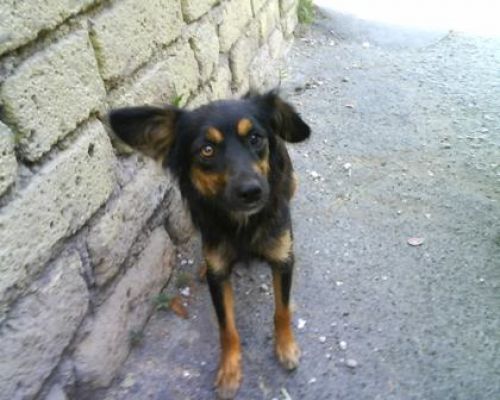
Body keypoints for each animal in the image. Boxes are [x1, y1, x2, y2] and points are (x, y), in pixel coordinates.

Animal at [108, 91, 310, 399]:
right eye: (206, 149)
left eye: (255, 138)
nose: (252, 192)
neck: (242, 222)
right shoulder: (219, 276)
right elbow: (227, 328)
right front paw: (229, 371)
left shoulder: (282, 261)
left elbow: (282, 310)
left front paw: (286, 347)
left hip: (293, 182)